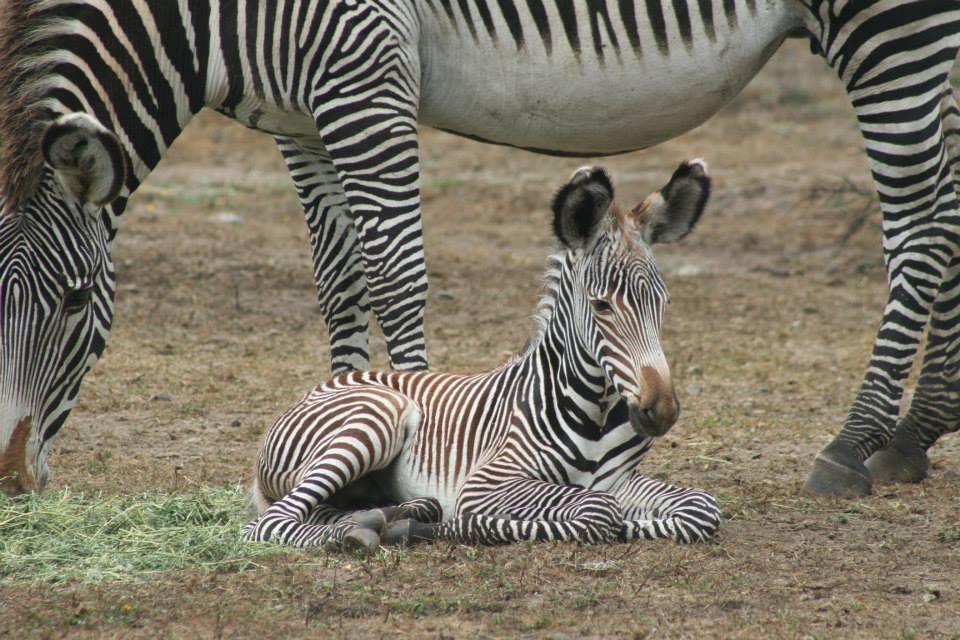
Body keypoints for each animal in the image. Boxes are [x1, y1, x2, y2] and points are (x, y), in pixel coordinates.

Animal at [1, 1, 959, 499]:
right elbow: (338, 278)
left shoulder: (362, 73)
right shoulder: (299, 117)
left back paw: (854, 442)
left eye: (77, 301)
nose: (9, 477)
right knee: (947, 215)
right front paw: (339, 414)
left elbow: (394, 271)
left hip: (893, 29)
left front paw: (414, 429)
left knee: (920, 224)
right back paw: (914, 436)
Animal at [244, 160, 720, 549]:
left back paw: (388, 515)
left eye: (664, 303)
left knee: (324, 509)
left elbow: (700, 507)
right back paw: (359, 534)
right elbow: (596, 510)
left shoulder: (619, 479)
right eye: (602, 306)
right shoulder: (485, 483)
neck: (598, 410)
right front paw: (454, 528)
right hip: (376, 418)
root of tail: (332, 381)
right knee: (270, 522)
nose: (662, 410)